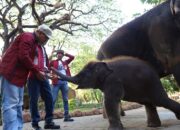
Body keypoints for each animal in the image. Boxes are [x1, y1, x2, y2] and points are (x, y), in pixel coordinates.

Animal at [50, 56, 180, 130]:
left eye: (83, 75)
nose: (50, 67)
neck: (101, 63)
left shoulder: (113, 80)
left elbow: (110, 100)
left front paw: (114, 129)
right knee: (149, 103)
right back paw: (153, 126)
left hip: (153, 84)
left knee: (160, 100)